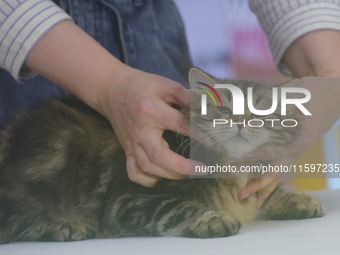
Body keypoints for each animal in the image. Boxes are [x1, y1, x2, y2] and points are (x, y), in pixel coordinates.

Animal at [0, 67, 324, 243]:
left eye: (260, 112)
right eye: (223, 109)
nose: (240, 122)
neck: (233, 168)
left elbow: (267, 195)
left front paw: (299, 200)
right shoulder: (127, 198)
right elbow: (177, 207)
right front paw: (211, 219)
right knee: (17, 224)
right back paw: (65, 225)